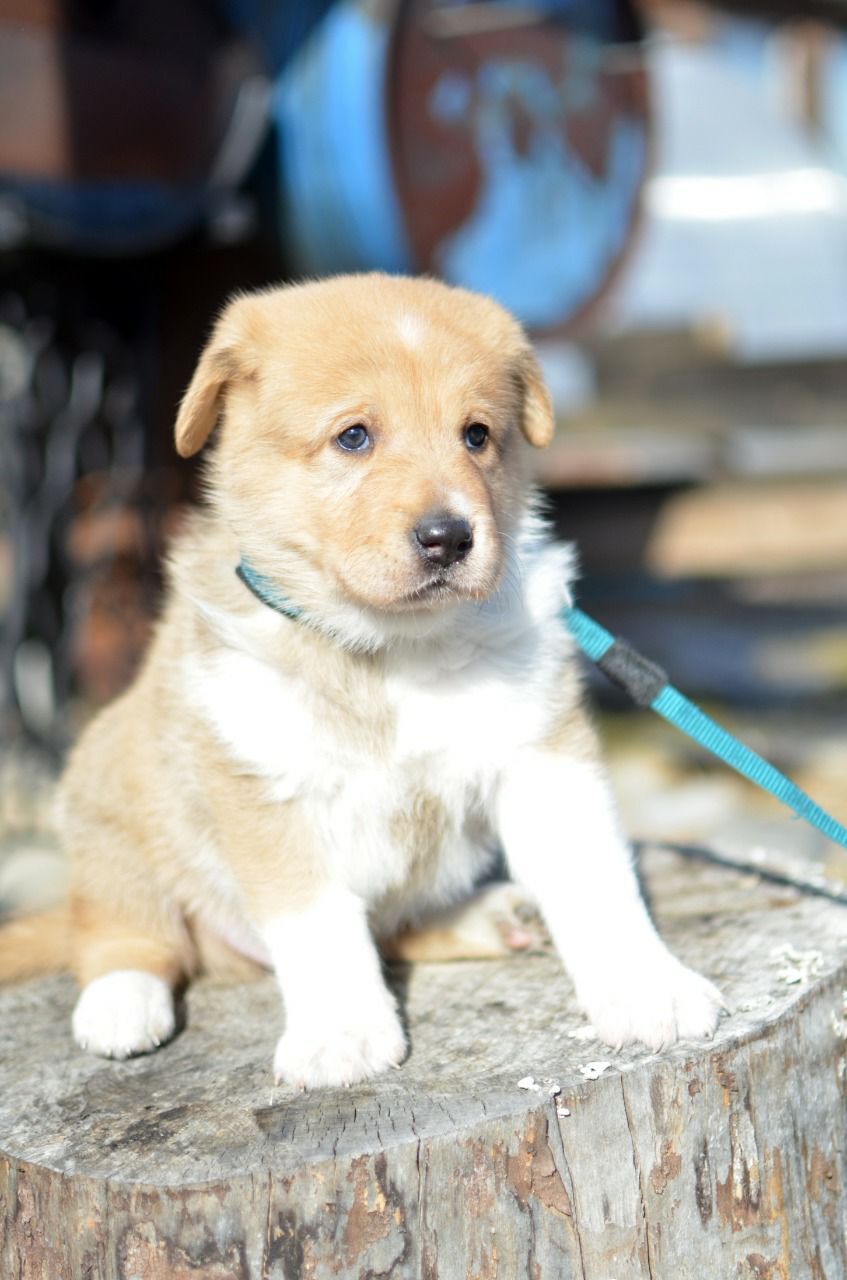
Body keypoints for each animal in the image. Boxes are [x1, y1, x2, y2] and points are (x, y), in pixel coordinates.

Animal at [1, 275, 731, 1085]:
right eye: (353, 436)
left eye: (476, 435)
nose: (448, 537)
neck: (388, 649)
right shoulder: (269, 792)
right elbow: (318, 925)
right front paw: (341, 1035)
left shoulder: (542, 757)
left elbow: (597, 880)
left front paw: (648, 990)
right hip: (106, 809)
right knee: (121, 932)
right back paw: (120, 1003)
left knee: (392, 928)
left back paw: (489, 917)